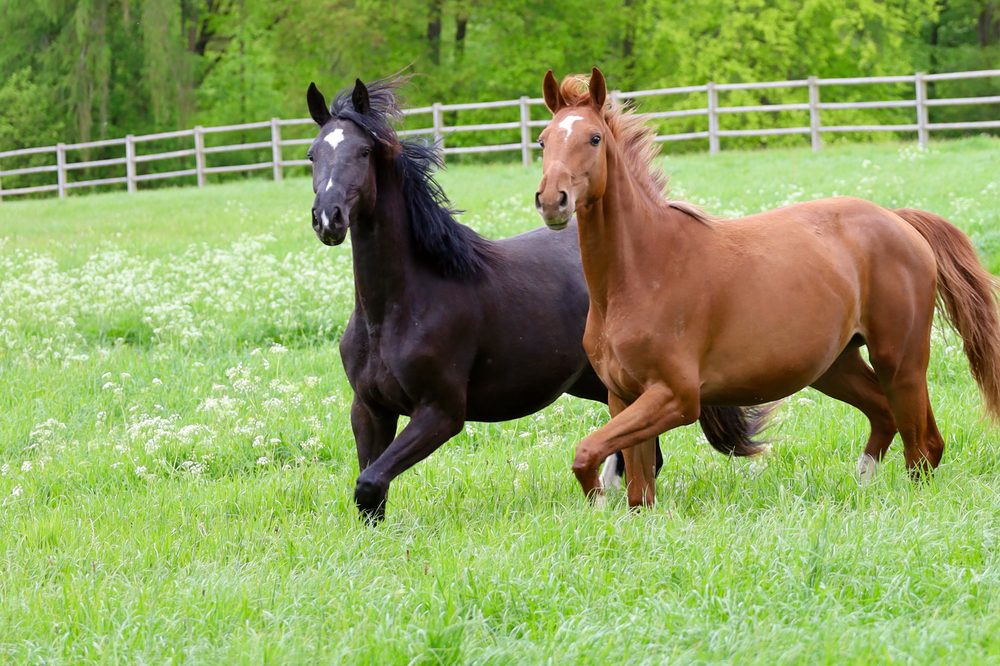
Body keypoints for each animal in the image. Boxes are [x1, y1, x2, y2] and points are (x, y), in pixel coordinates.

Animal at [304, 78, 764, 520]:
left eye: (363, 151)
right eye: (312, 155)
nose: (328, 218)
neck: (396, 309)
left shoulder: (440, 413)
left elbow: (369, 483)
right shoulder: (369, 409)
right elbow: (371, 491)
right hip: (596, 382)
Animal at [540, 66, 1000, 504]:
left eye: (595, 138)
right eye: (544, 142)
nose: (551, 201)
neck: (642, 274)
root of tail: (899, 219)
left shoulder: (676, 397)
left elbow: (586, 453)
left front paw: (598, 501)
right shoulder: (623, 397)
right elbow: (638, 491)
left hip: (900, 360)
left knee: (922, 448)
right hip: (836, 366)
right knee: (892, 421)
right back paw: (863, 483)